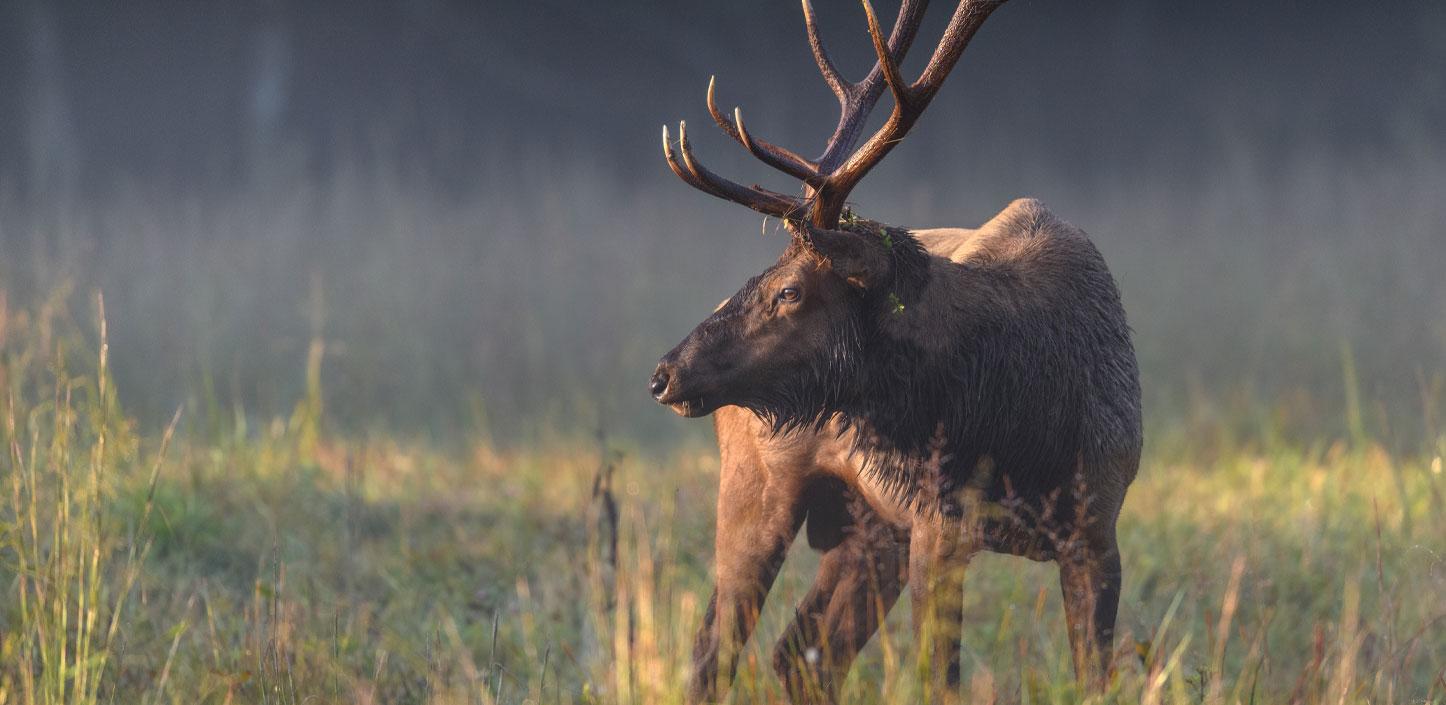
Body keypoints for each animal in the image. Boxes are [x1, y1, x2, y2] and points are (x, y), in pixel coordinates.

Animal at [653, 2, 1139, 702]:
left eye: (789, 290)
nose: (665, 373)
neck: (1025, 429)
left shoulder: (1097, 531)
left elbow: (1094, 680)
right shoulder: (941, 529)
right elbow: (939, 680)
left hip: (871, 528)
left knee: (799, 653)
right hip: (755, 483)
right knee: (714, 650)